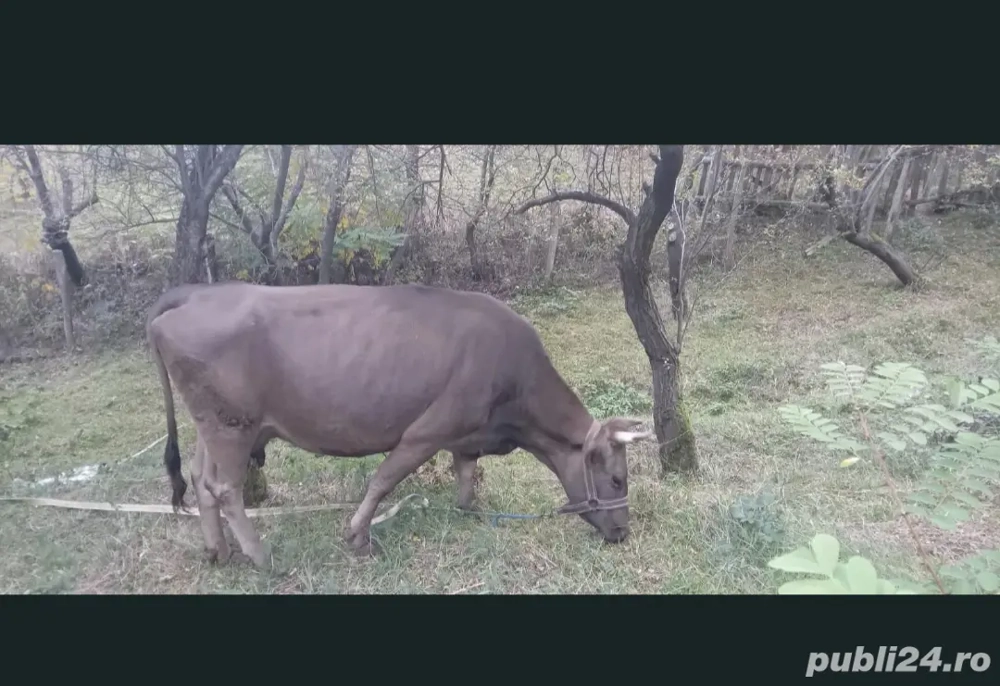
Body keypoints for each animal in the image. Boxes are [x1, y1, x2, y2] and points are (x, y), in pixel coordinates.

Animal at [146, 281, 655, 568]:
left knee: (200, 478)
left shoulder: (467, 434)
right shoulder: (428, 429)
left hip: (216, 425)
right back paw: (261, 556)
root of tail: (194, 293)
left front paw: (467, 510)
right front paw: (358, 536)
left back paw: (218, 552)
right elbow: (384, 479)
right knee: (224, 488)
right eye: (617, 478)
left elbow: (465, 472)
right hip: (233, 425)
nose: (624, 532)